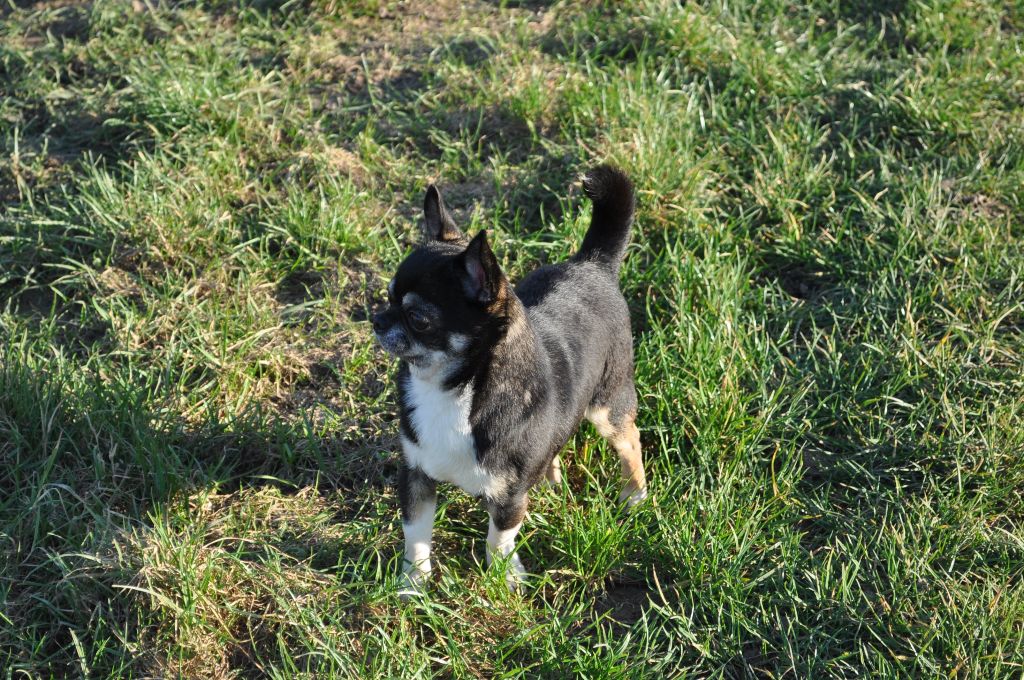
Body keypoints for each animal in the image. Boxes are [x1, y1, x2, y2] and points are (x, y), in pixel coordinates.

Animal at [374, 165, 647, 593]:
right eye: (387, 297)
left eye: (418, 319)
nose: (376, 320)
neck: (451, 390)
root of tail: (592, 264)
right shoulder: (415, 477)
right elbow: (416, 535)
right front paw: (413, 584)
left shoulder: (509, 498)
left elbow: (497, 539)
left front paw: (503, 578)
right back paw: (552, 481)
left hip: (607, 405)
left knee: (630, 440)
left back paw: (634, 493)